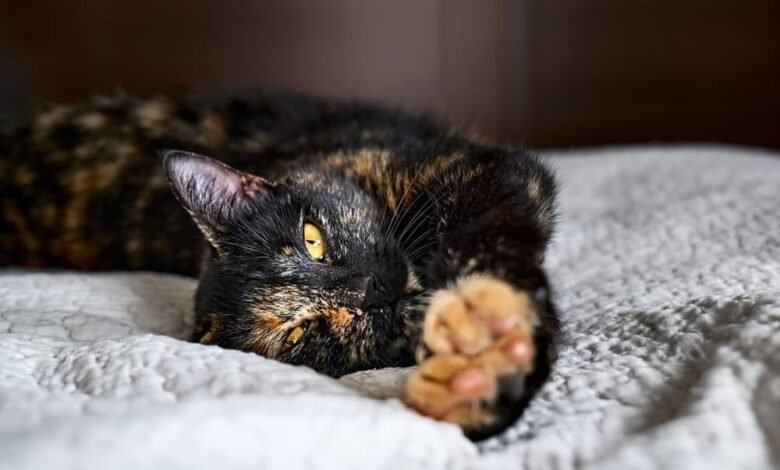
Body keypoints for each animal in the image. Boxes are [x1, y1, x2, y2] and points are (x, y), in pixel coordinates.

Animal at [1, 91, 560, 440]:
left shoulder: (479, 171)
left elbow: (492, 233)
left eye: (312, 239)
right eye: (301, 334)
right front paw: (482, 379)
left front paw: (491, 345)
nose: (370, 290)